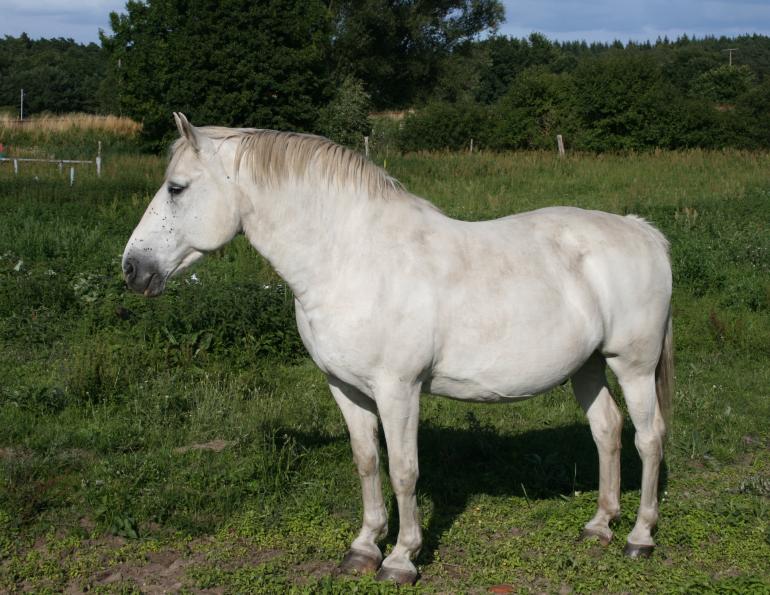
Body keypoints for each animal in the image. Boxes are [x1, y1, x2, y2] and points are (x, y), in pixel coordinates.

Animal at [122, 113, 673, 584]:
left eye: (176, 188)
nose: (132, 268)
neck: (351, 259)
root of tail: (642, 231)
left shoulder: (398, 389)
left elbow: (404, 470)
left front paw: (402, 559)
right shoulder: (345, 388)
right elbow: (367, 461)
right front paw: (364, 547)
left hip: (633, 366)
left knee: (648, 438)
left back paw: (640, 537)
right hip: (589, 367)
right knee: (607, 430)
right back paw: (599, 526)